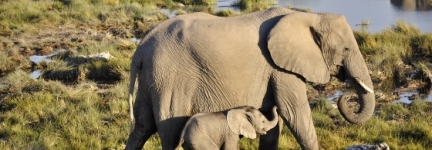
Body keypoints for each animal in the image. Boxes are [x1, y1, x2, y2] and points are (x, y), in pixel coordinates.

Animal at [125, 6, 374, 150]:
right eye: (346, 49)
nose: (346, 97)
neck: (308, 16)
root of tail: (141, 49)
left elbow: (275, 125)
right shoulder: (281, 69)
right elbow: (295, 114)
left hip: (151, 80)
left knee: (141, 128)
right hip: (171, 79)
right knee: (170, 132)